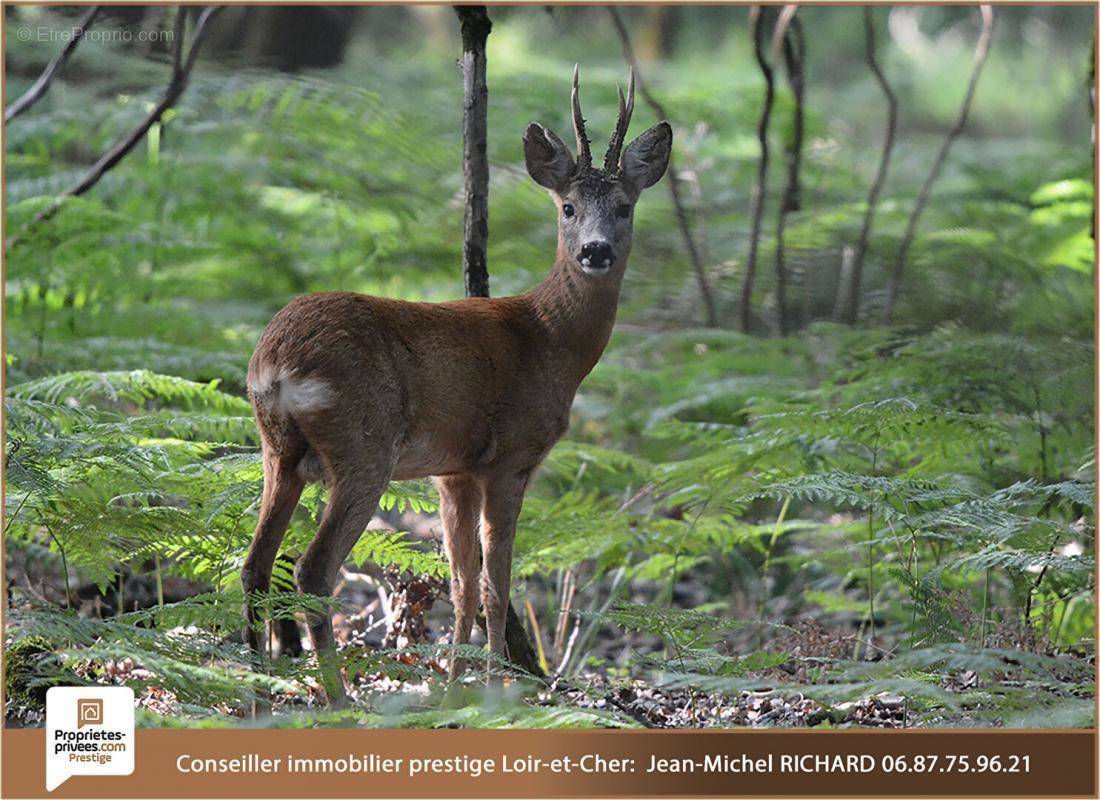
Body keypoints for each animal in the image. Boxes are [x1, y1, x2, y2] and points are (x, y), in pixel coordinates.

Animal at [242, 67, 668, 699]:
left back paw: (252, 686)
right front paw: (496, 685)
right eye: (567, 207)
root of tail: (275, 359)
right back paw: (336, 696)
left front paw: (451, 686)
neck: (548, 338)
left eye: (623, 206)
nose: (596, 250)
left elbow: (462, 580)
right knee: (312, 569)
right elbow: (496, 581)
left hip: (278, 449)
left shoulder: (453, 469)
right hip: (362, 445)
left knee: (254, 564)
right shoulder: (510, 456)